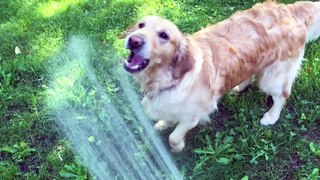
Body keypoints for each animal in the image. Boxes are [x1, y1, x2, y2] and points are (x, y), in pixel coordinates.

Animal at [120, 1, 320, 152]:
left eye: (164, 35)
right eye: (141, 25)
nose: (134, 40)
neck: (170, 78)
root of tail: (289, 10)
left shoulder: (194, 115)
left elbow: (174, 137)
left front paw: (177, 147)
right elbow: (168, 117)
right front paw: (163, 123)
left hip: (271, 77)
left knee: (282, 95)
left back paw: (271, 116)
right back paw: (240, 86)